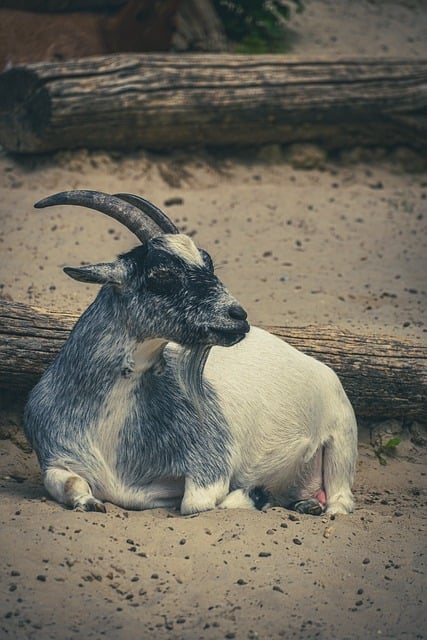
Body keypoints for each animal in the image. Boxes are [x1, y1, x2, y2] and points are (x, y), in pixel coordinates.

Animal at [23, 190, 358, 516]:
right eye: (161, 274)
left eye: (207, 264)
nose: (238, 316)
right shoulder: (55, 458)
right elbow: (69, 484)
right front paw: (88, 501)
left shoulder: (210, 465)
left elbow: (194, 503)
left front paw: (255, 495)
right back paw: (306, 503)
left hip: (341, 438)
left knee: (341, 502)